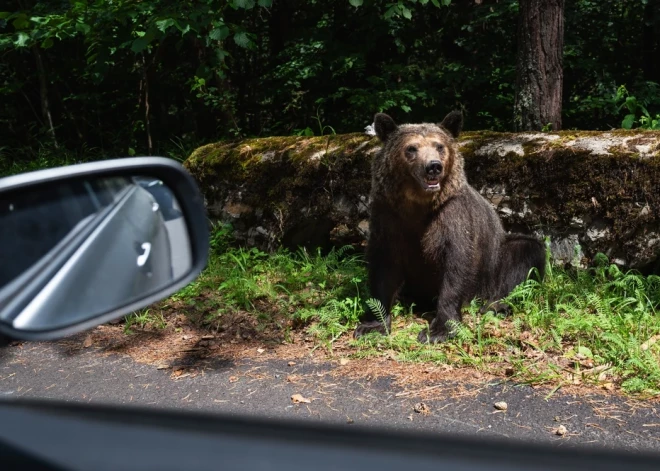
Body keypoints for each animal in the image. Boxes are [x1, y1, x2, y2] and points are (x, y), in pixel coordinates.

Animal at [356, 112, 548, 344]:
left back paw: (497, 305)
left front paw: (439, 330)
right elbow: (384, 265)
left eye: (439, 146)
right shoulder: (388, 215)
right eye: (411, 148)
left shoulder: (452, 215)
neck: (418, 205)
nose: (433, 166)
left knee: (525, 251)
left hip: (493, 266)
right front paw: (372, 324)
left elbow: (456, 264)